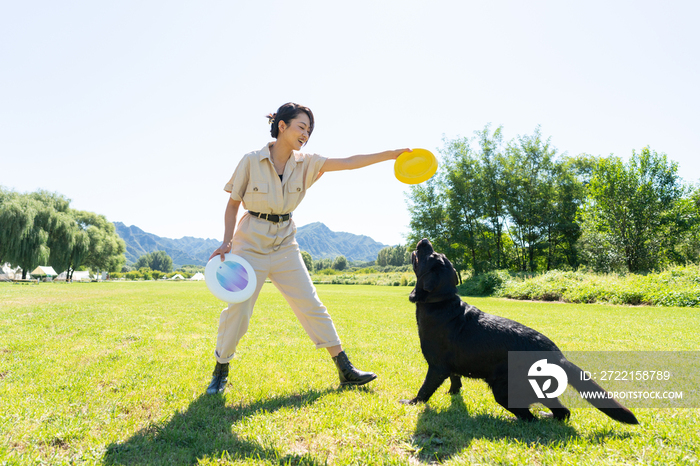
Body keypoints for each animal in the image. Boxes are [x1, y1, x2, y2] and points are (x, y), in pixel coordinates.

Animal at [404, 238, 640, 424]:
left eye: (430, 255)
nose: (424, 240)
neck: (440, 301)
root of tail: (559, 357)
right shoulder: (452, 366)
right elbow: (456, 380)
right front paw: (452, 394)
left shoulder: (437, 367)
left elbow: (425, 390)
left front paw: (411, 402)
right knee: (562, 412)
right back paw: (547, 417)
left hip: (502, 389)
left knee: (530, 416)